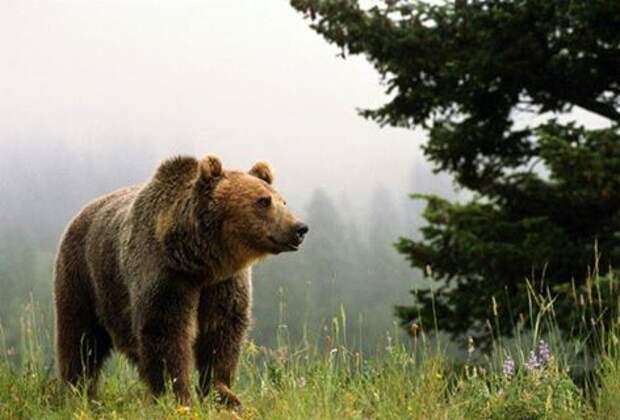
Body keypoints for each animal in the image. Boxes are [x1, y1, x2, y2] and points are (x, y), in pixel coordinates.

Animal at [52, 154, 308, 406]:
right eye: (263, 201)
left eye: (283, 201)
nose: (299, 228)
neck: (198, 261)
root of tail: (80, 213)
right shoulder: (166, 275)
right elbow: (165, 331)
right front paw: (177, 395)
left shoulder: (223, 283)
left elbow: (222, 330)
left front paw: (223, 393)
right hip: (83, 277)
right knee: (80, 338)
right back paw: (76, 390)